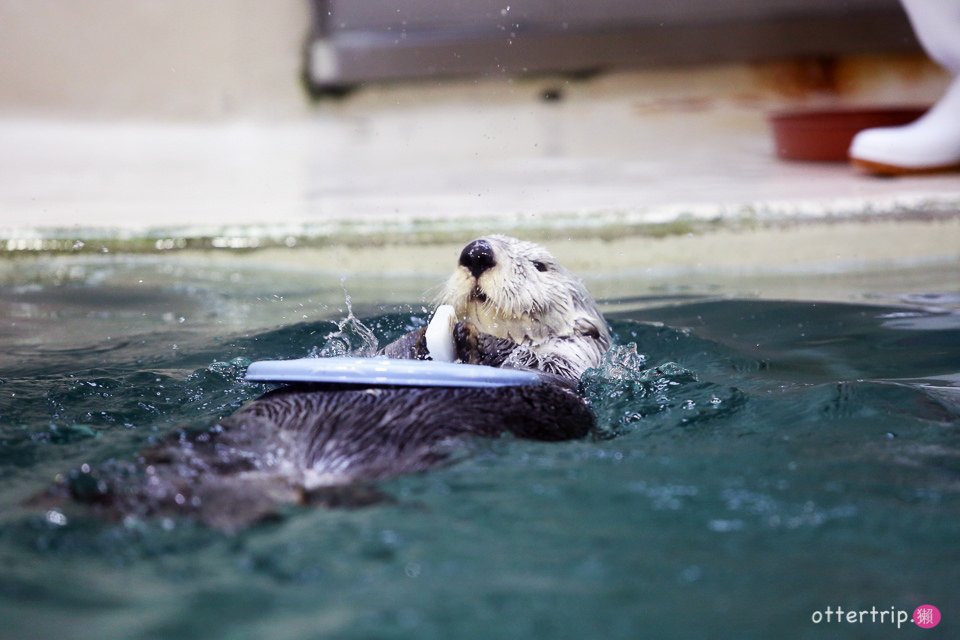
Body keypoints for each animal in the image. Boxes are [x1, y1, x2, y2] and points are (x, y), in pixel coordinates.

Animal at [41, 236, 612, 528]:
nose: (476, 252)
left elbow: (543, 369)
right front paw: (436, 334)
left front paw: (481, 342)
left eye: (540, 264)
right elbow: (392, 351)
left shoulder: (567, 368)